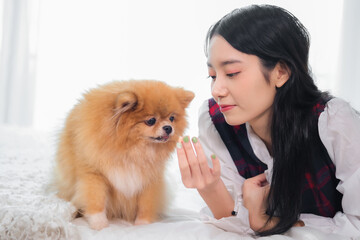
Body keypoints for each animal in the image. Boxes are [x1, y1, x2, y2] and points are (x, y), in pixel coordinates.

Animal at [54, 79, 194, 230]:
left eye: (172, 118)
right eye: (151, 121)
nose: (168, 128)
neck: (131, 150)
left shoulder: (149, 179)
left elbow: (146, 203)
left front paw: (143, 224)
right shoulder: (94, 175)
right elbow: (96, 200)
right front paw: (99, 224)